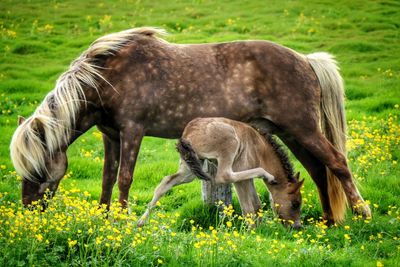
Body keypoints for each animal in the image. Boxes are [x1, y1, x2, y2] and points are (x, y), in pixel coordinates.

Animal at [137, 118, 304, 229]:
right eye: (295, 203)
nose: (297, 227)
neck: (260, 148)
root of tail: (188, 132)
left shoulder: (247, 179)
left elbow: (256, 204)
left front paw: (259, 229)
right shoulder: (242, 176)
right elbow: (248, 208)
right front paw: (252, 233)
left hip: (190, 168)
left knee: (166, 182)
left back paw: (141, 221)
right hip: (230, 144)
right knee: (223, 176)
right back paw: (267, 175)